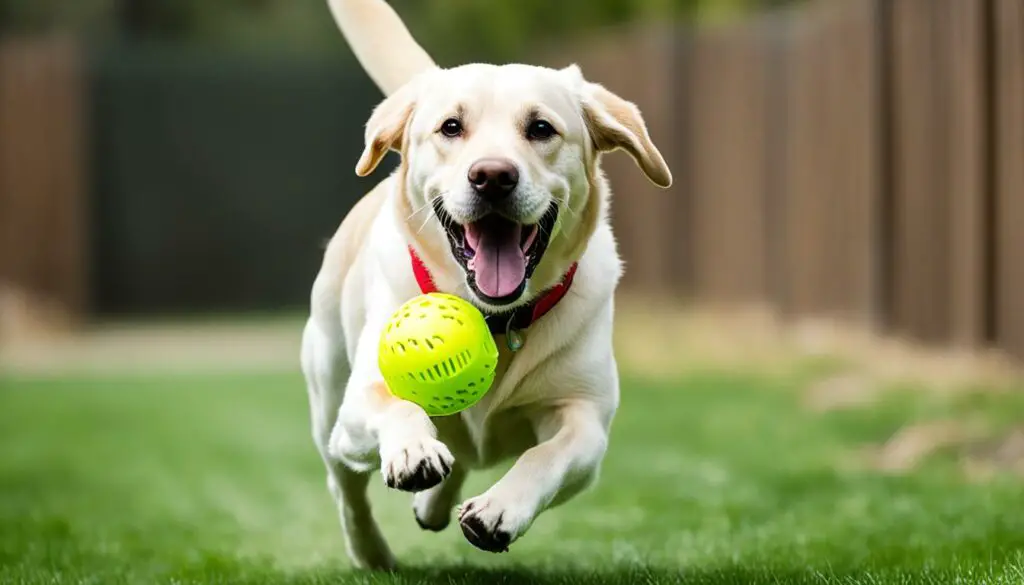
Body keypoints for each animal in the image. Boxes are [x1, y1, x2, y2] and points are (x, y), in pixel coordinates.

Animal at [301, 0, 671, 569]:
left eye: (541, 128)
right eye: (451, 127)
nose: (493, 175)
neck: (495, 317)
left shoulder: (586, 420)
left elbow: (549, 454)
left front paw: (501, 510)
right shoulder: (361, 401)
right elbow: (398, 405)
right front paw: (413, 449)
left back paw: (434, 505)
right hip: (327, 398)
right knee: (346, 486)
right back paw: (372, 552)